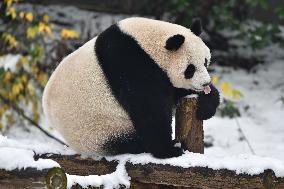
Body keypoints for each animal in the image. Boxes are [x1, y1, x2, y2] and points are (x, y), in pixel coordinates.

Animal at [42, 17, 220, 158]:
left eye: (205, 61)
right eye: (190, 69)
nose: (205, 83)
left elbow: (175, 92)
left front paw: (206, 104)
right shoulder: (130, 66)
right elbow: (149, 109)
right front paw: (168, 151)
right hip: (99, 130)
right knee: (127, 141)